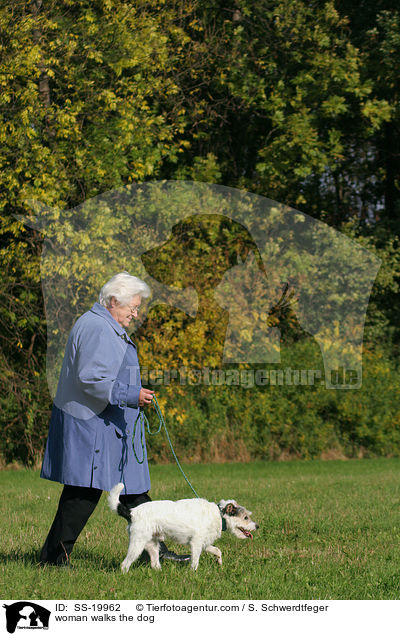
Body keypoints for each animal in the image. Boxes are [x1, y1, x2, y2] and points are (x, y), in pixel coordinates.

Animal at [108, 482, 258, 572]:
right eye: (246, 517)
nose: (257, 526)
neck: (219, 515)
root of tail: (132, 512)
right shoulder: (196, 544)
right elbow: (195, 561)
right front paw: (193, 573)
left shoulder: (204, 543)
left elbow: (217, 550)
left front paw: (219, 562)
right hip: (137, 544)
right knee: (125, 564)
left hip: (152, 545)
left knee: (154, 563)